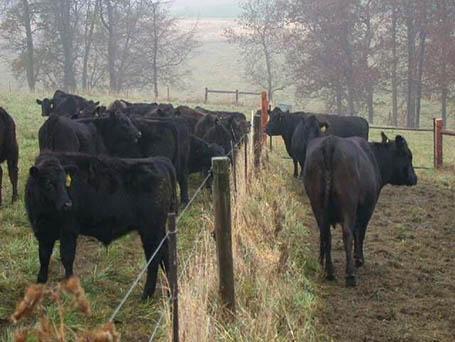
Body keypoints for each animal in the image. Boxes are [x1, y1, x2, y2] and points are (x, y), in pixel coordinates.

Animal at [24, 152, 178, 300]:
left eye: (65, 183)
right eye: (48, 183)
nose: (67, 204)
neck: (45, 213)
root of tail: (159, 160)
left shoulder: (68, 231)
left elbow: (67, 258)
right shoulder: (43, 233)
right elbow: (44, 257)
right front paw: (39, 286)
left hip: (151, 230)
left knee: (155, 257)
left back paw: (149, 295)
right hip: (155, 231)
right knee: (163, 255)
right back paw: (167, 292)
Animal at [304, 132, 418, 288]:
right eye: (409, 155)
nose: (415, 178)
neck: (374, 159)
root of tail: (330, 142)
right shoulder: (367, 209)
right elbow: (360, 232)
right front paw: (359, 259)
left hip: (317, 205)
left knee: (324, 233)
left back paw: (326, 269)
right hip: (348, 205)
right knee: (347, 233)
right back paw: (350, 275)